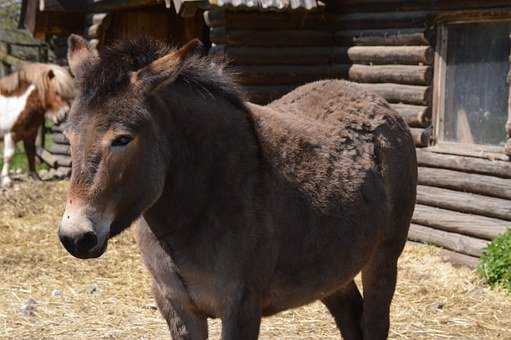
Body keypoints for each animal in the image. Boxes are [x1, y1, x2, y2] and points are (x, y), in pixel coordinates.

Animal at [59, 35, 416, 338]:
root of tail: (371, 97)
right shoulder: (177, 307)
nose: (75, 237)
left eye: (122, 139)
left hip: (383, 257)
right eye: (69, 136)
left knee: (375, 321)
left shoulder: (241, 307)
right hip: (332, 267)